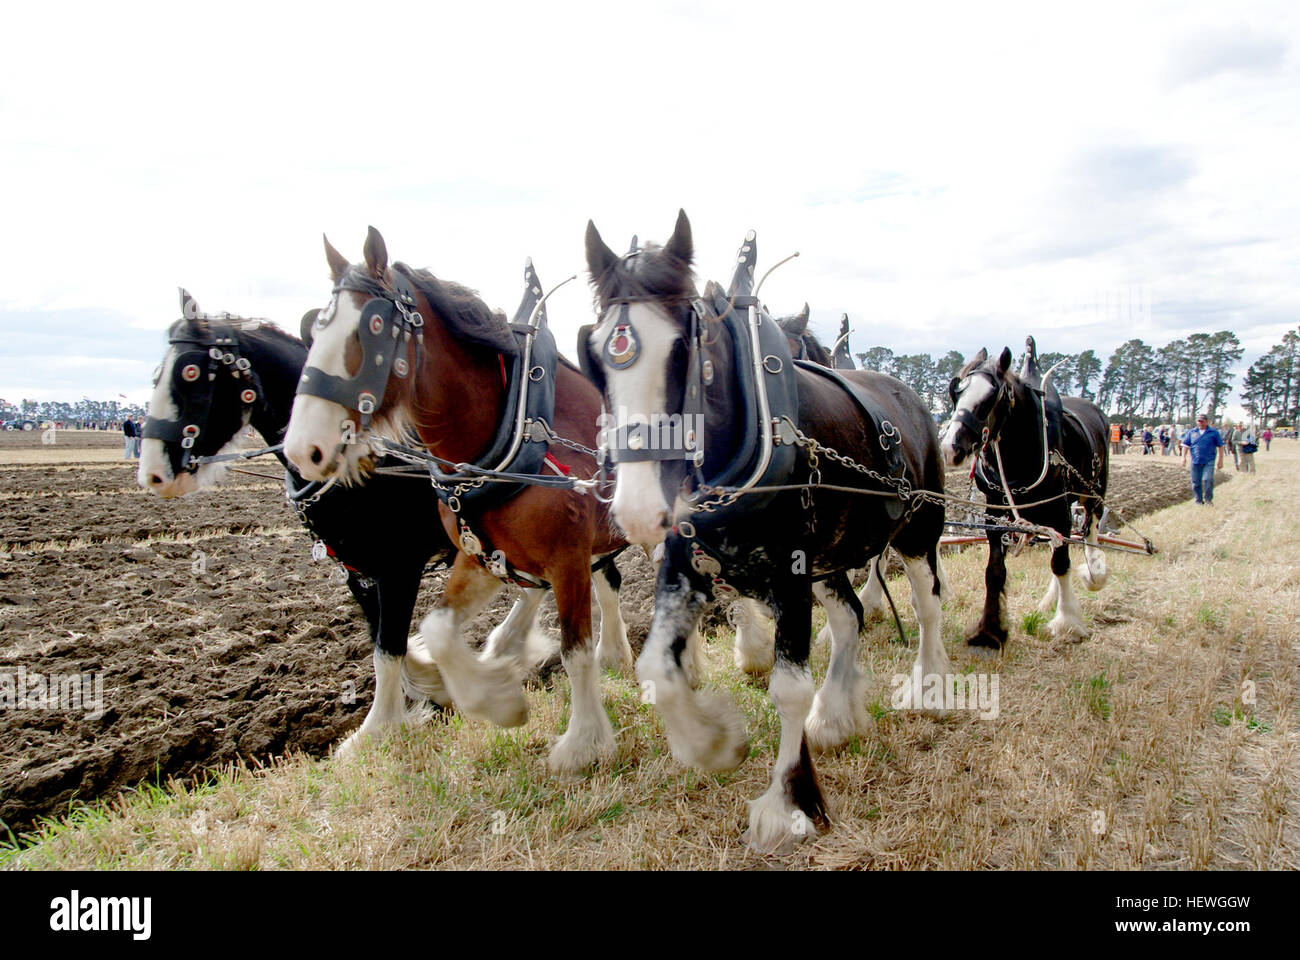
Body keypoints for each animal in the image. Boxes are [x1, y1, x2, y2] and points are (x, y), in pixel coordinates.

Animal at [136, 290, 610, 757]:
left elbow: (389, 647)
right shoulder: (358, 571)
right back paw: (510, 648)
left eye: (191, 373)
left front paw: (378, 727)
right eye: (156, 374)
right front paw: (431, 685)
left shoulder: (399, 567)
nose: (153, 474)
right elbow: (381, 639)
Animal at [283, 230, 633, 774]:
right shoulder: (479, 556)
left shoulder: (567, 558)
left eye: (374, 327)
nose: (303, 449)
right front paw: (496, 698)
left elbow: (575, 652)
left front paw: (582, 743)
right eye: (316, 330)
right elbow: (436, 632)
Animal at [583, 210, 948, 852]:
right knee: (850, 617)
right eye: (597, 354)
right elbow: (657, 668)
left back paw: (928, 686)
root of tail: (912, 395)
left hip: (915, 534)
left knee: (926, 606)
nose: (637, 510)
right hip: (832, 555)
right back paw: (835, 715)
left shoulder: (790, 571)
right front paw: (714, 744)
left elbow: (788, 689)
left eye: (684, 350)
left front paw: (786, 803)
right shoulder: (686, 565)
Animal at [939, 338, 1110, 647]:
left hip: (1093, 492)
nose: (950, 447)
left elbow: (1061, 562)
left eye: (992, 396)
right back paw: (1051, 599)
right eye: (956, 391)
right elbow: (995, 571)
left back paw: (1094, 574)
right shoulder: (995, 510)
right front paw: (989, 630)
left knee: (1088, 531)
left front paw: (1067, 622)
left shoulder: (1059, 506)